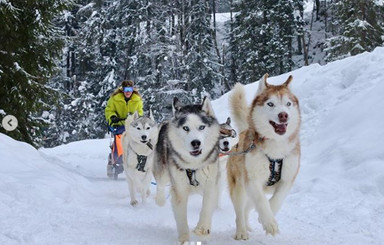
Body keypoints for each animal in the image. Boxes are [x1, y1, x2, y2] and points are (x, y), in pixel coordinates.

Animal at [152, 97, 220, 243]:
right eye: (185, 128)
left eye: (201, 127)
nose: (196, 143)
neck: (194, 166)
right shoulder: (179, 190)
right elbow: (181, 217)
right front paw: (184, 238)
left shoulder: (211, 184)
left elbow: (207, 206)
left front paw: (203, 229)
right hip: (162, 170)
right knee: (160, 185)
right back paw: (160, 200)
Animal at [226, 73, 302, 240]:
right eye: (270, 104)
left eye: (288, 103)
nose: (283, 115)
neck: (275, 149)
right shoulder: (252, 180)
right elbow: (262, 201)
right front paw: (269, 222)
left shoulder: (288, 179)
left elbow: (276, 200)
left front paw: (266, 218)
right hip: (239, 189)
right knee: (240, 211)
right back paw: (241, 231)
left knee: (247, 209)